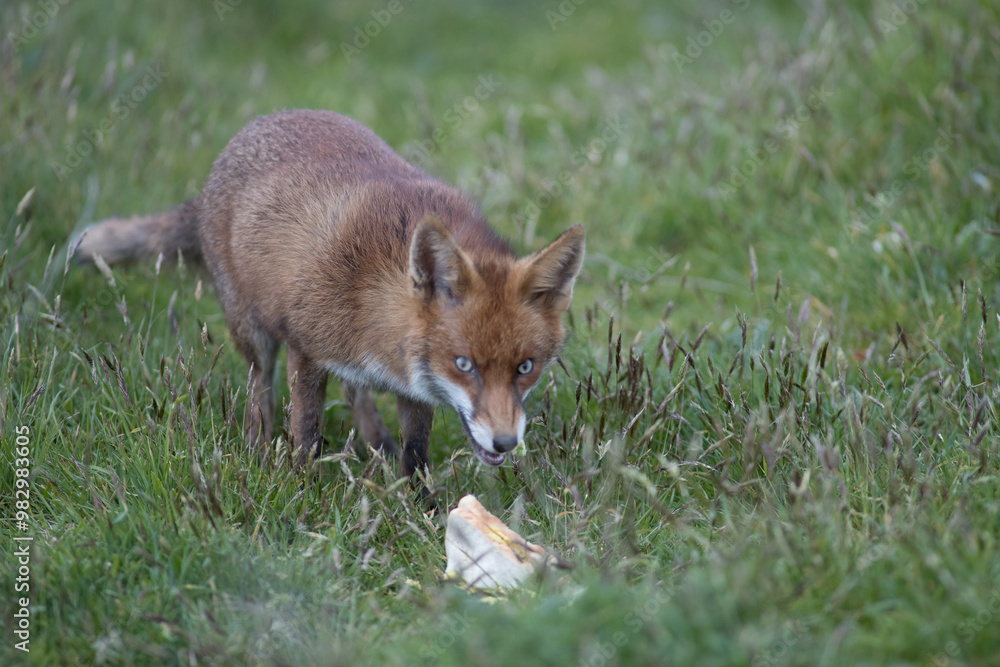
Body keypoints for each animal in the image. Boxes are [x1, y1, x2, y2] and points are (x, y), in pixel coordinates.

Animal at [76, 109, 585, 492]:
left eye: (525, 367)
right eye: (464, 365)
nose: (505, 444)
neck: (374, 294)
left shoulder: (413, 382)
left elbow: (416, 451)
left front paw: (422, 507)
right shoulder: (306, 350)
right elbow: (306, 433)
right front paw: (302, 493)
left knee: (356, 392)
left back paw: (377, 447)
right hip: (253, 332)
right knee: (260, 389)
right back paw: (258, 448)